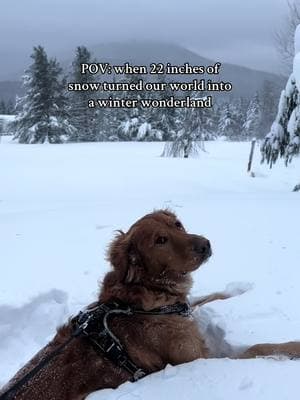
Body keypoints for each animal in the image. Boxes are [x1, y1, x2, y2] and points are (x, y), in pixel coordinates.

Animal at [0, 211, 300, 398]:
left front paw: (236, 291)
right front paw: (293, 348)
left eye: (177, 224)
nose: (206, 244)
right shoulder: (197, 358)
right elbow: (257, 349)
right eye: (160, 240)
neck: (144, 296)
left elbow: (203, 298)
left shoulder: (183, 307)